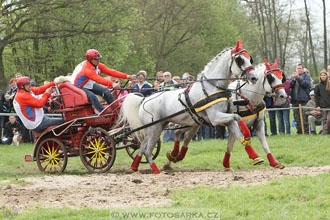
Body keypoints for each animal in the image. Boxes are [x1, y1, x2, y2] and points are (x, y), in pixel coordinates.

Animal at [120, 40, 260, 174]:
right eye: (240, 59)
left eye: (250, 58)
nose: (254, 78)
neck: (212, 87)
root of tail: (144, 99)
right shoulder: (215, 118)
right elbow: (237, 117)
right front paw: (247, 133)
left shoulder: (226, 117)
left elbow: (237, 133)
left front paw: (255, 156)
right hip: (155, 129)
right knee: (148, 151)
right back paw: (156, 171)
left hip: (156, 128)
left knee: (142, 147)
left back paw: (135, 168)